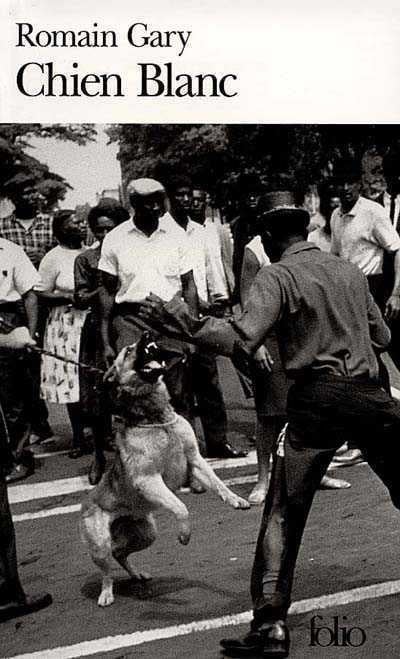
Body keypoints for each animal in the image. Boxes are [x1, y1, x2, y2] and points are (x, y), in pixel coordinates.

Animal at [80, 332, 250, 604]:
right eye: (128, 351)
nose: (147, 334)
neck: (156, 418)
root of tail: (85, 502)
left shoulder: (195, 460)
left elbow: (218, 484)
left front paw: (236, 499)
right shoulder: (149, 480)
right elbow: (180, 507)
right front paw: (184, 534)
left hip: (146, 533)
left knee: (120, 554)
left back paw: (137, 574)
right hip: (100, 544)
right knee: (106, 569)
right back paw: (106, 594)